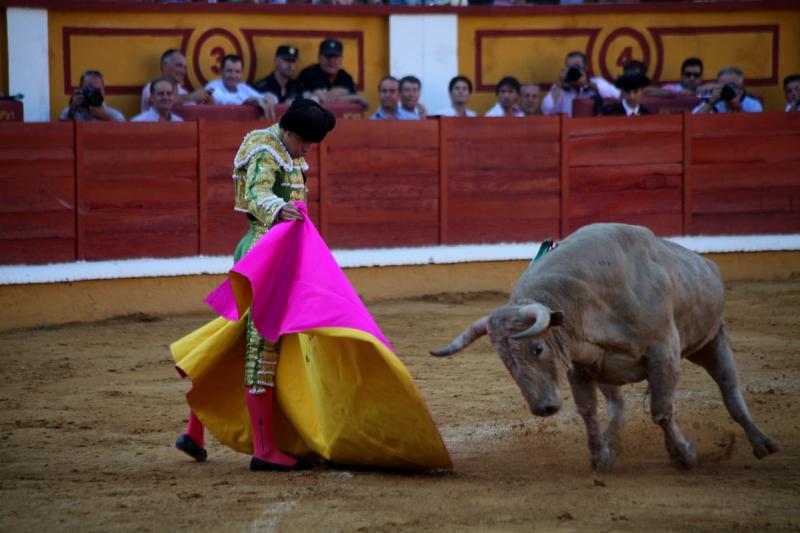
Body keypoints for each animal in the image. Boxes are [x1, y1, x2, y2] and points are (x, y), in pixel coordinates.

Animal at [434, 223, 780, 470]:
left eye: (537, 349)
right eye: (506, 361)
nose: (543, 408)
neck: (587, 300)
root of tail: (705, 263)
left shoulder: (664, 355)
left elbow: (661, 411)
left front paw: (684, 454)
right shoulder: (579, 364)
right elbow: (588, 411)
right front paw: (600, 456)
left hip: (712, 340)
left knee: (730, 390)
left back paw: (762, 443)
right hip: (606, 370)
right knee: (617, 405)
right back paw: (613, 444)